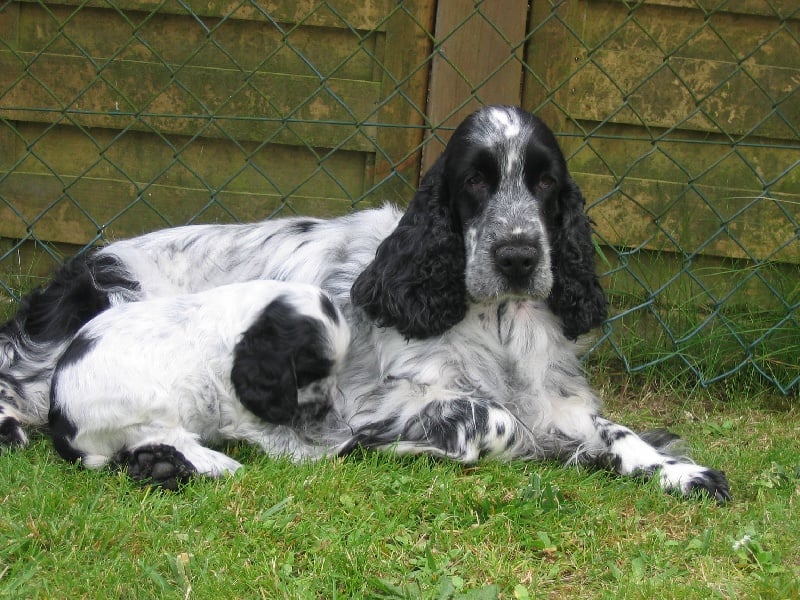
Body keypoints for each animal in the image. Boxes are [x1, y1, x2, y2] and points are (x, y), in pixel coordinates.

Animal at [0, 105, 732, 500]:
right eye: (475, 182)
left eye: (545, 182)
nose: (519, 256)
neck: (495, 318)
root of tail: (83, 265)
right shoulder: (388, 399)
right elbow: (489, 424)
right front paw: (405, 449)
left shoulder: (556, 398)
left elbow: (615, 431)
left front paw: (677, 470)